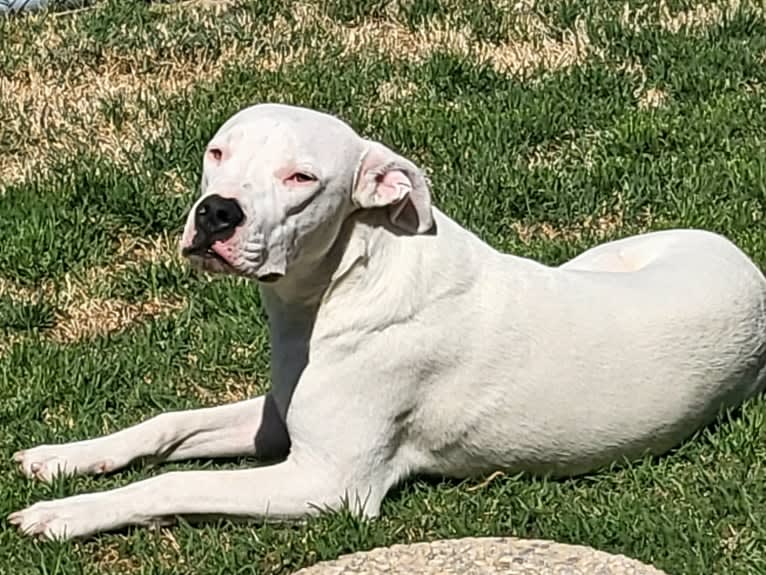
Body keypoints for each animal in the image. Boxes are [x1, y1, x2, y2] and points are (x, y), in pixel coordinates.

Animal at [7, 103, 766, 540]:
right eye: (218, 152)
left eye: (302, 179)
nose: (218, 212)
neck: (340, 284)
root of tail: (745, 263)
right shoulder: (278, 417)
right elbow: (166, 425)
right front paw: (63, 458)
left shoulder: (326, 483)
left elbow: (176, 482)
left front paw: (66, 515)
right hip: (602, 259)